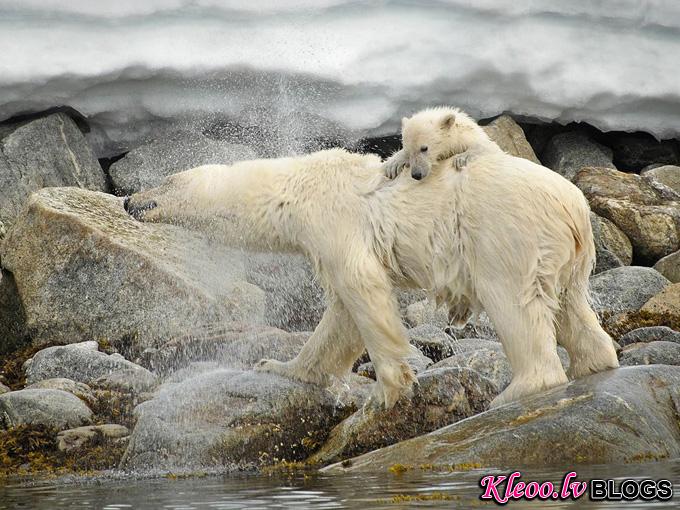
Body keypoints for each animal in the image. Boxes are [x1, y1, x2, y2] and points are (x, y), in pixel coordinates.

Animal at [125, 106, 620, 406]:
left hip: (506, 235)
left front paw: (389, 389)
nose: (128, 201)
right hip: (563, 254)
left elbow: (363, 290)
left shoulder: (334, 222)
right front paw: (281, 366)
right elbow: (339, 318)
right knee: (570, 305)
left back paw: (517, 389)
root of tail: (575, 207)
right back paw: (595, 362)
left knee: (515, 304)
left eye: (165, 180)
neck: (297, 186)